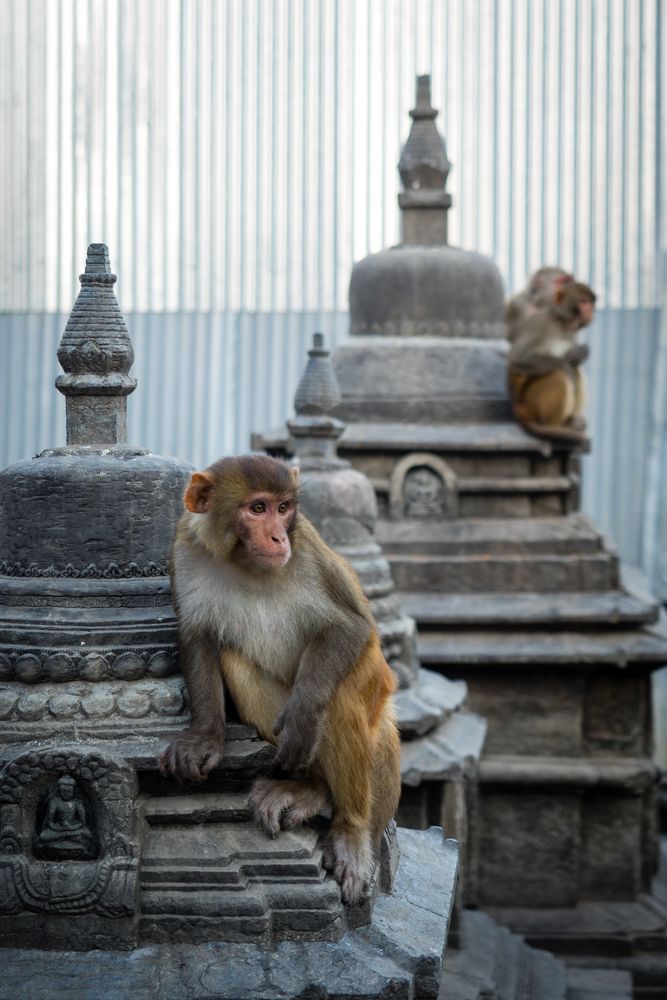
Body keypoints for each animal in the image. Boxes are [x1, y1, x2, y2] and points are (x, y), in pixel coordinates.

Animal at [160, 456, 402, 908]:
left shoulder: (306, 548)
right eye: (258, 508)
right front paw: (204, 737)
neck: (244, 562)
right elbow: (197, 638)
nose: (277, 536)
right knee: (235, 658)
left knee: (341, 693)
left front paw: (304, 713)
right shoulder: (185, 550)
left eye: (284, 507)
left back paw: (350, 830)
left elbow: (350, 628)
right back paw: (310, 786)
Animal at [508, 280, 596, 440]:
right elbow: (518, 358)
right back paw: (554, 426)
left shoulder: (571, 333)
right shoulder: (539, 325)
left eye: (591, 303)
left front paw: (582, 352)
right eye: (584, 302)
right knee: (559, 374)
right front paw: (564, 364)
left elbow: (575, 357)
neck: (561, 323)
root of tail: (519, 411)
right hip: (533, 404)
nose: (591, 311)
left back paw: (573, 421)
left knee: (576, 367)